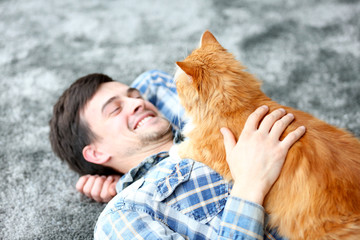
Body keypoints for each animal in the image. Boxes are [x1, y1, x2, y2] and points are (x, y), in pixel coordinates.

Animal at [174, 31, 360, 239]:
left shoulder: (211, 151)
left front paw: (173, 149)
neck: (239, 105)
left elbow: (186, 148)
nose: (173, 86)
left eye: (176, 85)